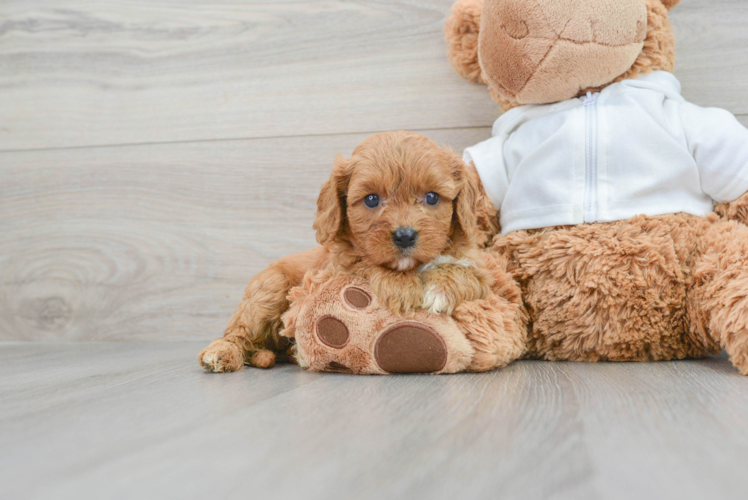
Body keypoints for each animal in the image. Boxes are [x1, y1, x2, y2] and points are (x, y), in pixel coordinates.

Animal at [202, 131, 500, 374]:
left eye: (432, 197)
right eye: (371, 199)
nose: (404, 235)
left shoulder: (480, 269)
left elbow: (467, 274)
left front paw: (440, 288)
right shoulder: (335, 266)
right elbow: (364, 262)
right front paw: (401, 288)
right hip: (269, 288)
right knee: (240, 332)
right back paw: (221, 352)